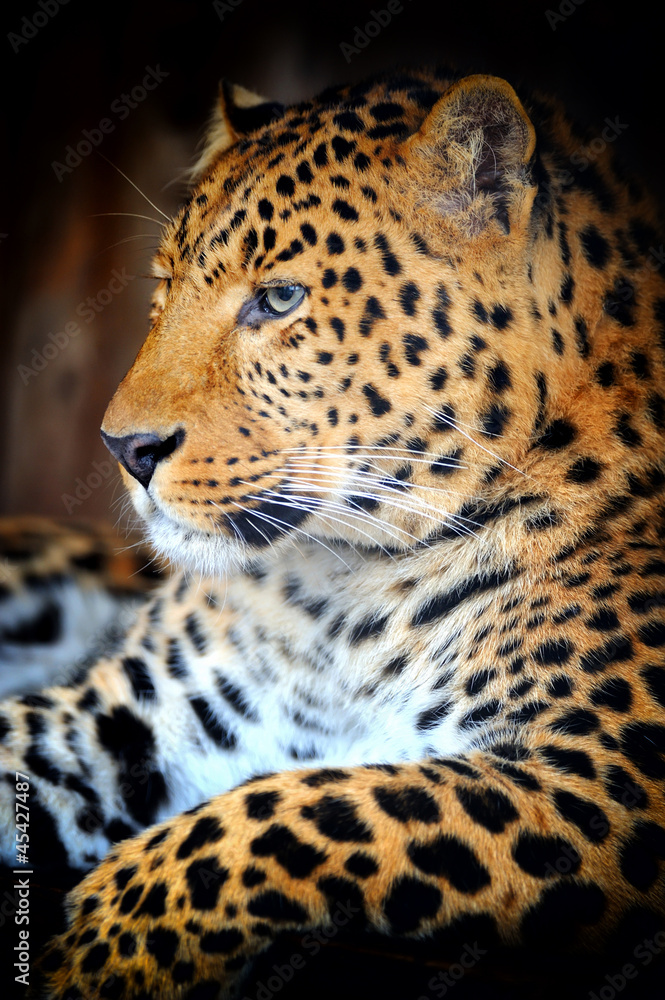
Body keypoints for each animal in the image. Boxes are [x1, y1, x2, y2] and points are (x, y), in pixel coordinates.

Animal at [1, 65, 665, 1000]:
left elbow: (298, 807)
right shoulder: (137, 711)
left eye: (279, 299)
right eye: (164, 287)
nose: (125, 449)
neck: (344, 591)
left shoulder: (599, 778)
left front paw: (102, 944)